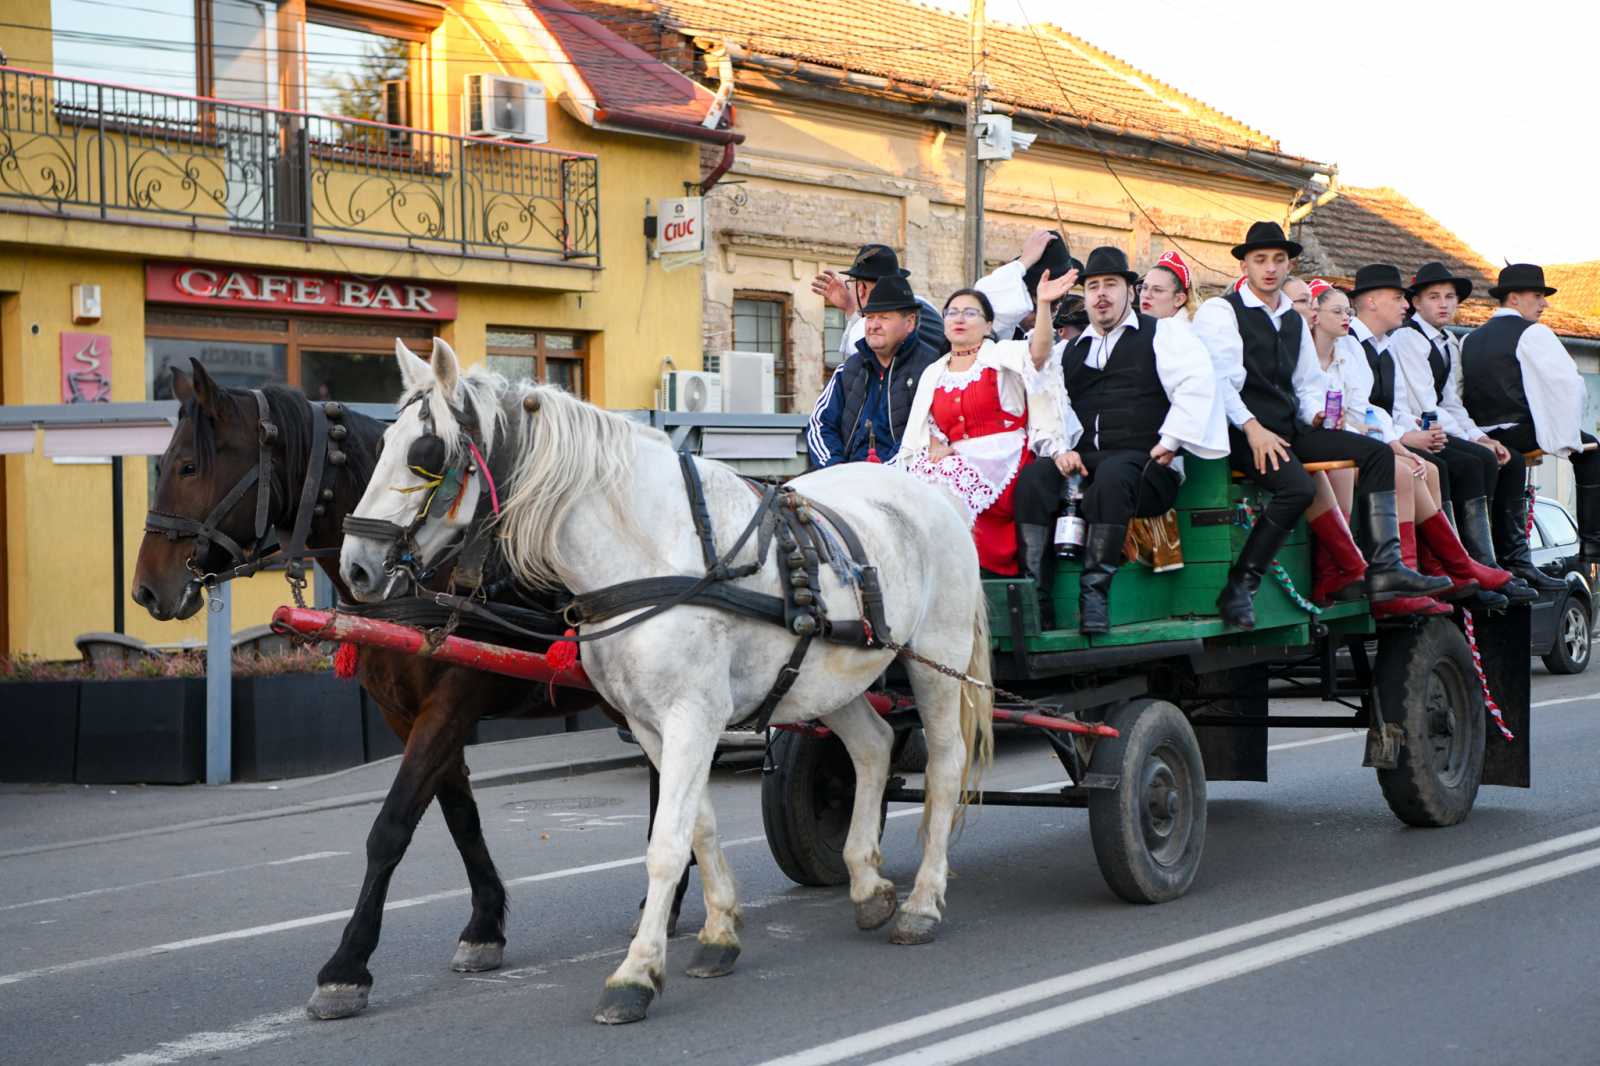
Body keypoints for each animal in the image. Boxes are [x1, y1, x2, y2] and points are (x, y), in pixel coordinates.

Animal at [131, 361, 611, 1017]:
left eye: (187, 467)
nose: (146, 589)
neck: (426, 572)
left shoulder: (451, 703)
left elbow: (391, 826)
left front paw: (347, 966)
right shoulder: (405, 714)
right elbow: (458, 817)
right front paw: (484, 926)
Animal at [344, 340, 992, 1024]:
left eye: (424, 454)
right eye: (384, 443)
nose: (356, 567)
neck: (654, 553)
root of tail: (926, 493)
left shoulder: (691, 718)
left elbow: (665, 843)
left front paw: (635, 973)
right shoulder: (653, 724)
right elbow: (696, 828)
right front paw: (718, 934)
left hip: (935, 659)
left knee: (944, 766)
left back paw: (923, 903)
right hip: (829, 677)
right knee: (872, 747)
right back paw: (867, 885)